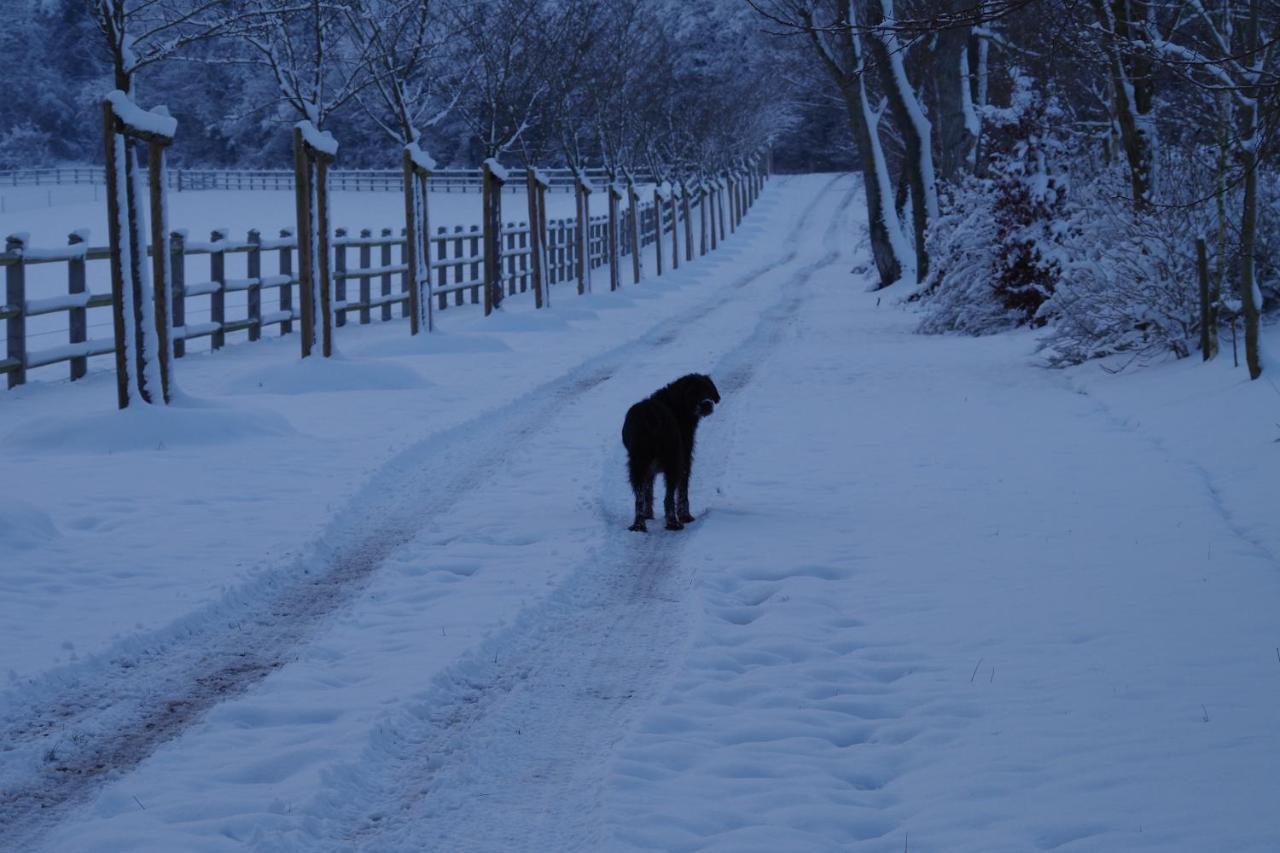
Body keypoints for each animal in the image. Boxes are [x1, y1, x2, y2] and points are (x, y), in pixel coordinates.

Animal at [619, 371, 721, 527]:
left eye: (707, 389)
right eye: (693, 392)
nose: (707, 404)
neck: (677, 406)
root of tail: (652, 417)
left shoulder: (650, 469)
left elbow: (648, 490)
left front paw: (648, 515)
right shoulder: (685, 460)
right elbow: (683, 492)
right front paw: (686, 516)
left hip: (638, 463)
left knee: (639, 497)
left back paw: (639, 525)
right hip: (672, 462)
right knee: (668, 497)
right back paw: (673, 523)